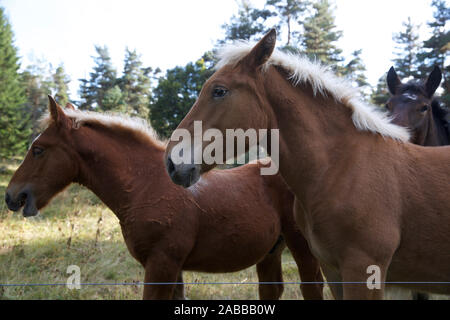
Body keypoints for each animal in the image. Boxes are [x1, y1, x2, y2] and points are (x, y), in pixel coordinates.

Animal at [5, 97, 326, 300]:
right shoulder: (172, 266)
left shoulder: (161, 263)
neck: (144, 185)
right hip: (270, 251)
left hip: (300, 244)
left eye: (39, 150)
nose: (12, 196)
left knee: (312, 286)